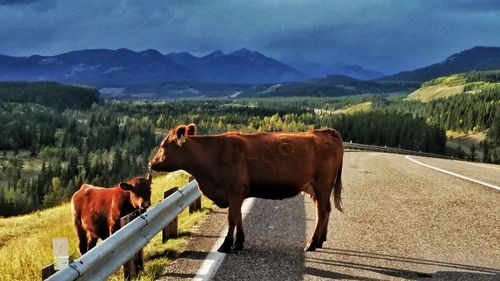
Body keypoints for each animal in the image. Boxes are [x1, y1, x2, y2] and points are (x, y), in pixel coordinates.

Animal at [148, 123, 344, 252]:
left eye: (163, 145)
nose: (151, 163)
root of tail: (326, 132)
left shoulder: (234, 191)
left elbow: (232, 219)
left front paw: (226, 245)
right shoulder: (238, 194)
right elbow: (239, 217)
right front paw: (239, 243)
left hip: (322, 185)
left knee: (323, 211)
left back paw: (312, 243)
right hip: (315, 189)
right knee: (325, 210)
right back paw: (320, 240)